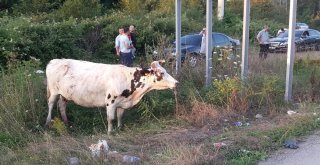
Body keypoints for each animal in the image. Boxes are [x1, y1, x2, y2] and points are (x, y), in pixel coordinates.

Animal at [45, 59, 178, 134]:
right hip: (53, 91)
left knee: (61, 105)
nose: (176, 82)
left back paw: (66, 122)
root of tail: (54, 60)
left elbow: (119, 116)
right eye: (161, 73)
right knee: (50, 104)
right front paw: (110, 132)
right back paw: (47, 123)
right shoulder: (110, 101)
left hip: (65, 93)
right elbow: (110, 118)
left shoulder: (122, 103)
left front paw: (119, 128)